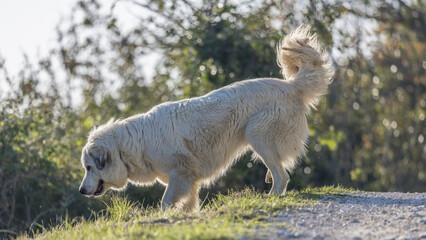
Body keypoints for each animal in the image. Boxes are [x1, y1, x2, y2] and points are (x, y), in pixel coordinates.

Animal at [78, 25, 334, 211]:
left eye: (89, 167)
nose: (81, 191)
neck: (133, 145)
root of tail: (291, 86)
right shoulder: (189, 181)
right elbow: (189, 205)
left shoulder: (180, 175)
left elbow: (165, 203)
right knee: (280, 171)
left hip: (258, 135)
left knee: (282, 176)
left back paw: (269, 199)